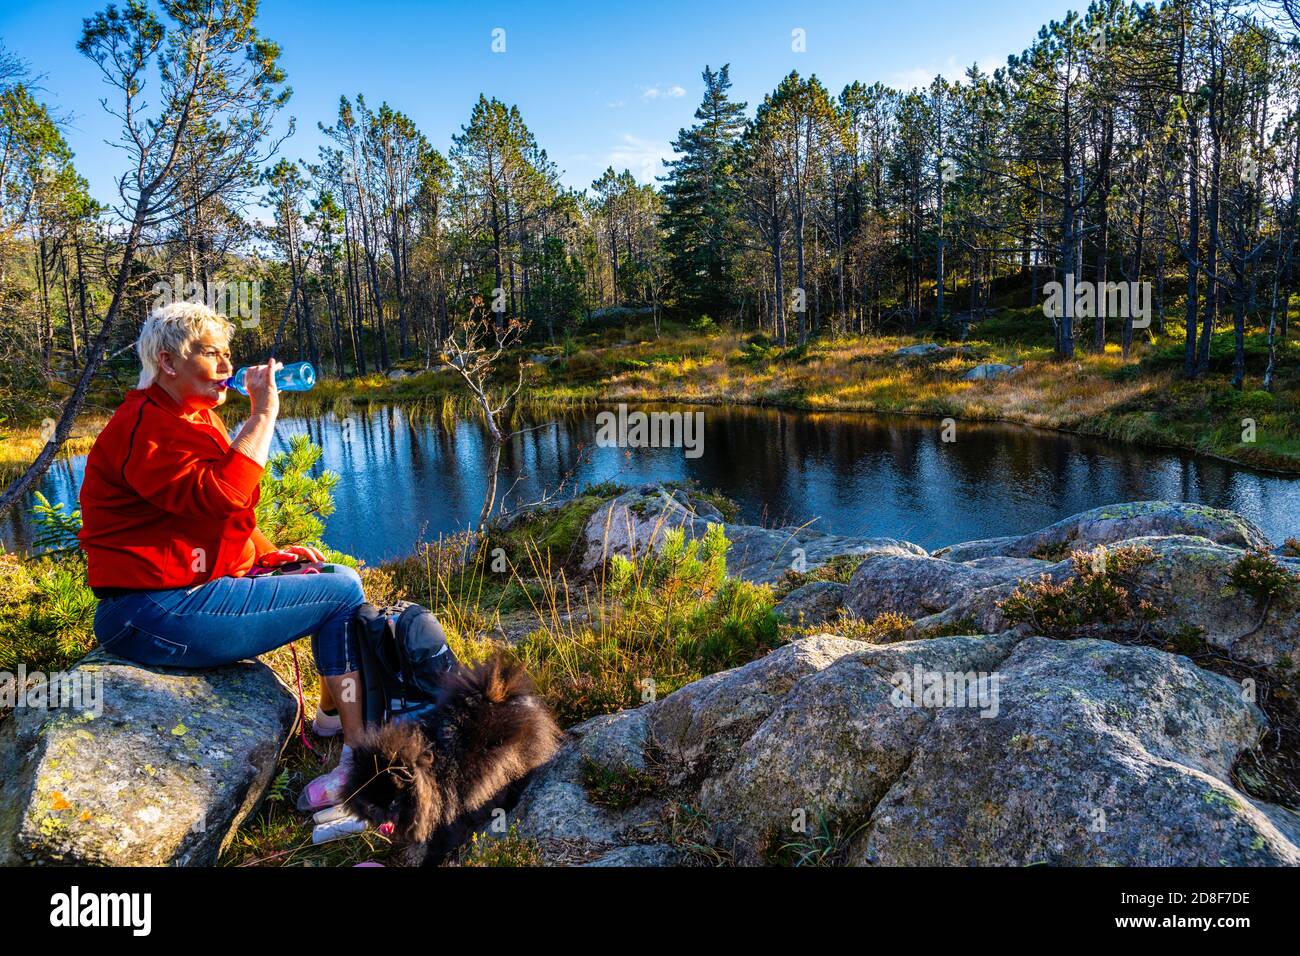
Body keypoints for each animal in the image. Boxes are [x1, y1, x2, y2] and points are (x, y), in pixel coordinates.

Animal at [345, 658, 564, 868]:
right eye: (371, 807)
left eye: (394, 802)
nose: (383, 820)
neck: (425, 776)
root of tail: (501, 694)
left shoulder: (447, 812)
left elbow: (440, 844)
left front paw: (430, 861)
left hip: (515, 758)